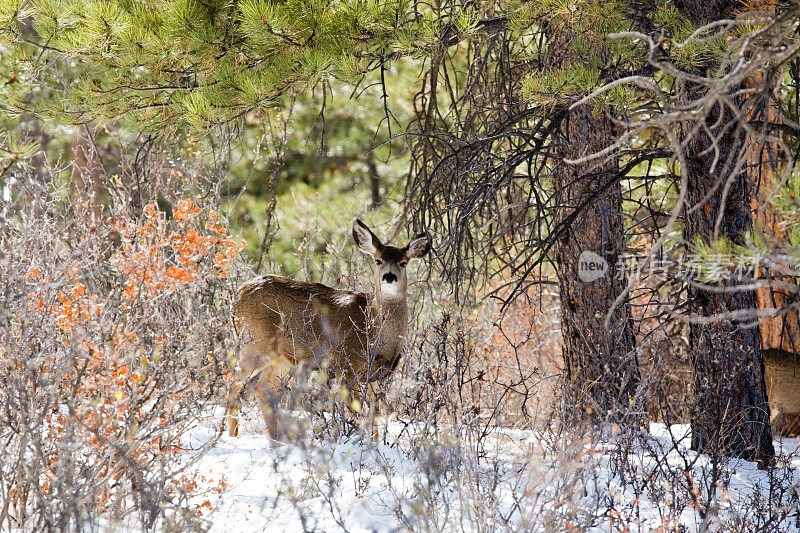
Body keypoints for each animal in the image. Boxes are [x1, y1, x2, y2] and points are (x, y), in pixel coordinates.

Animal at [225, 217, 432, 436]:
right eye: (378, 261)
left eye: (403, 262)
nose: (389, 277)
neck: (374, 330)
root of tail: (238, 294)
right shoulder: (347, 367)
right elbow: (358, 415)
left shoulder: (377, 377)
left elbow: (375, 418)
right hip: (254, 343)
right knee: (233, 382)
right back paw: (233, 436)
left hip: (280, 358)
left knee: (264, 389)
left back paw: (277, 437)